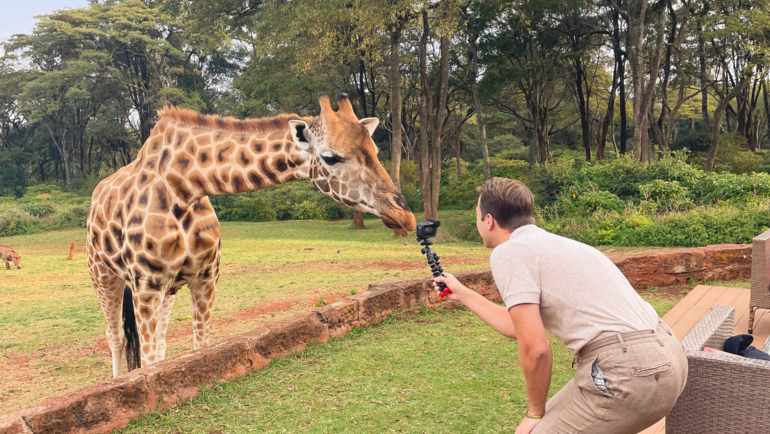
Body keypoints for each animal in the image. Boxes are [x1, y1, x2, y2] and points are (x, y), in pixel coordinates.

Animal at [87, 92, 416, 376]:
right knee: (117, 337)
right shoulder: (146, 284)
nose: (405, 216)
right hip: (104, 274)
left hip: (168, 287)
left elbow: (197, 350)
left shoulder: (205, 277)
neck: (185, 188)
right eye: (330, 157)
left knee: (161, 340)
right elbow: (148, 361)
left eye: (375, 150)